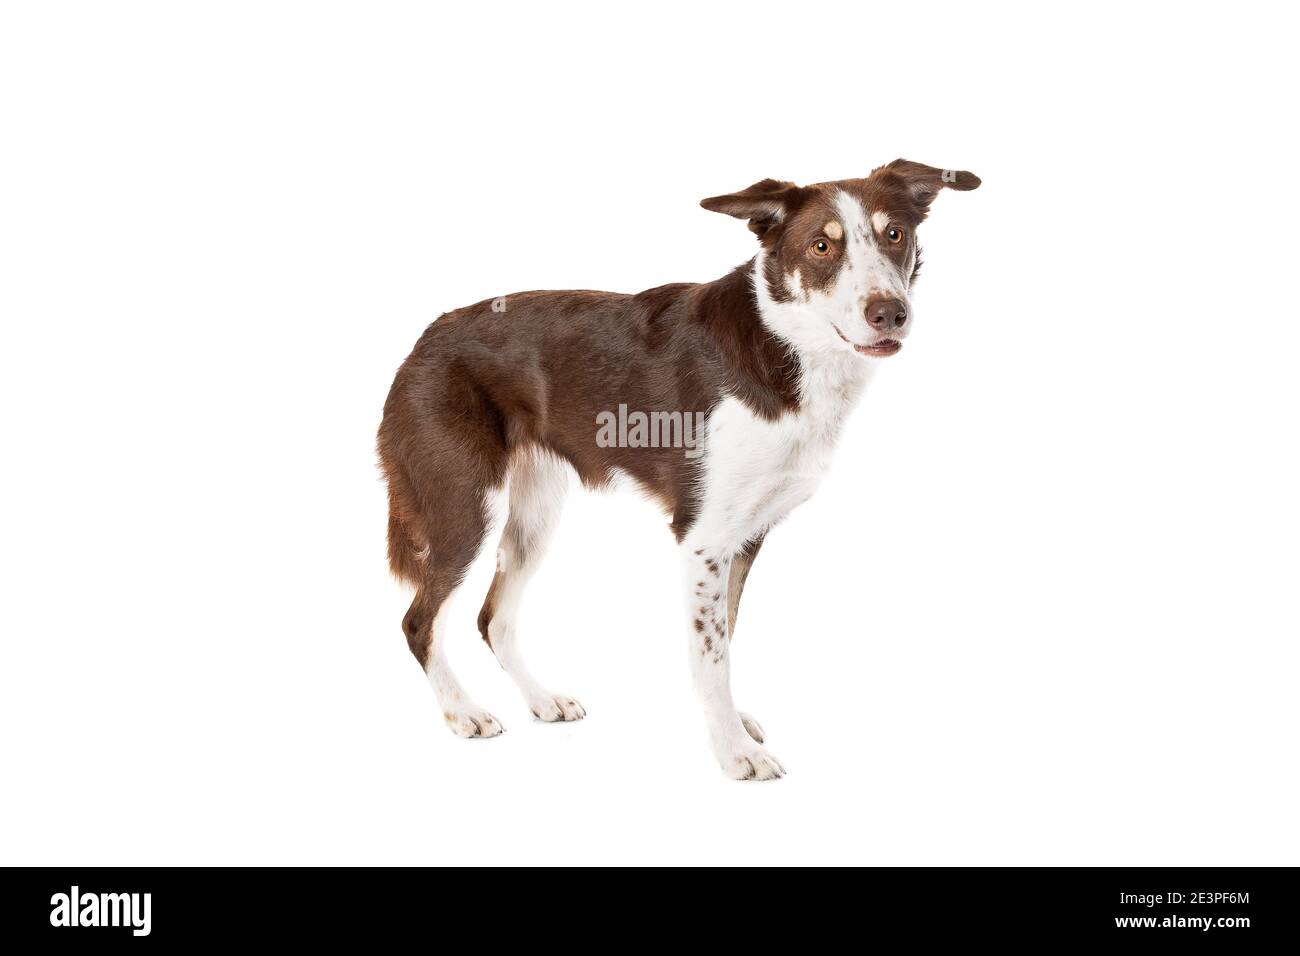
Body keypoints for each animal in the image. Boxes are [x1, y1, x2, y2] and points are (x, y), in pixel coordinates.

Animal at [379, 160, 977, 780]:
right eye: (821, 246)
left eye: (895, 235)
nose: (890, 314)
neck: (785, 340)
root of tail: (423, 338)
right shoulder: (704, 539)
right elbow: (712, 656)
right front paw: (734, 750)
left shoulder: (744, 537)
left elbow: (725, 642)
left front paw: (730, 726)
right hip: (466, 508)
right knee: (419, 621)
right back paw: (463, 711)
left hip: (534, 518)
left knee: (493, 618)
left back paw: (542, 700)